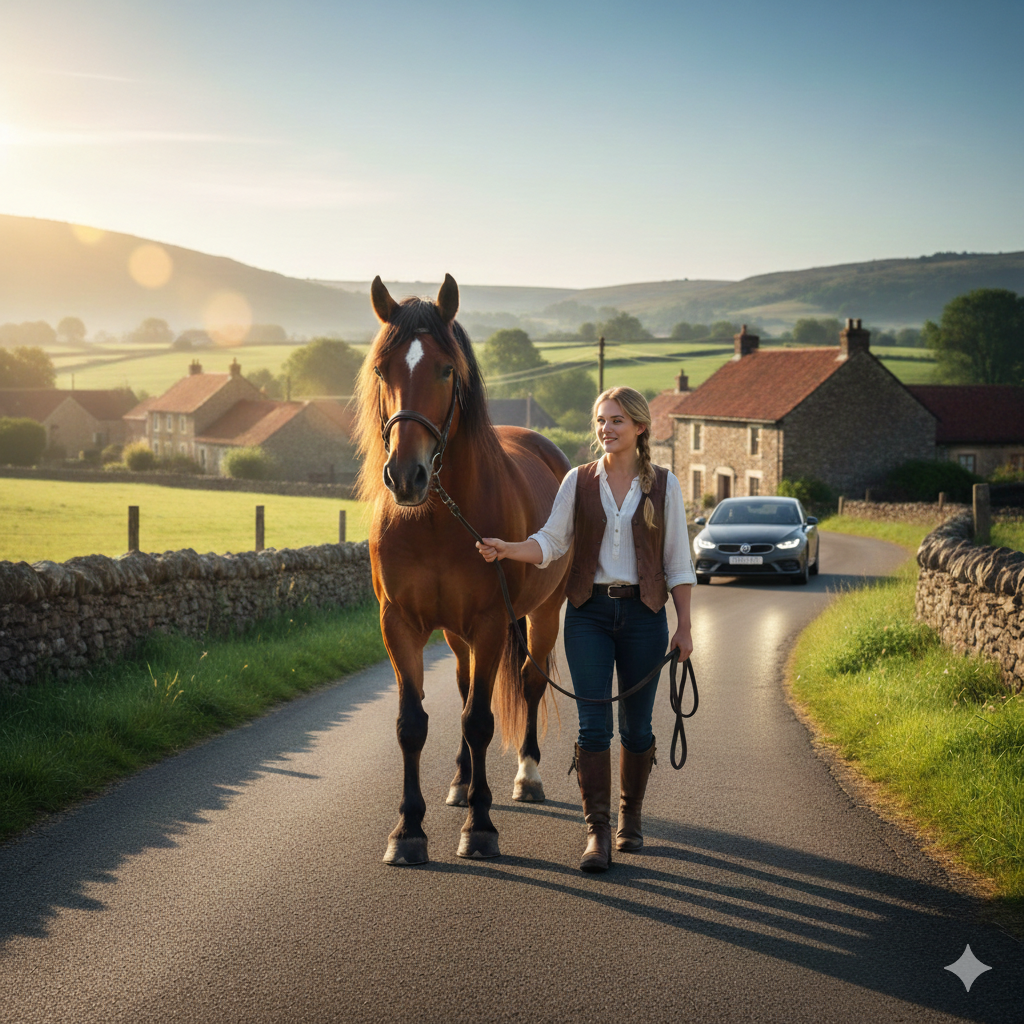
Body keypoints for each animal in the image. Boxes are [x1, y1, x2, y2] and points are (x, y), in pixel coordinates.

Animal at [353, 274, 571, 865]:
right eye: (382, 370)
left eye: (446, 369)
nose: (406, 476)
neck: (435, 520)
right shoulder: (399, 623)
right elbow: (413, 724)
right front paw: (408, 830)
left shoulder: (493, 622)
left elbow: (480, 719)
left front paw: (480, 826)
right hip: (456, 635)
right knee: (464, 683)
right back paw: (459, 780)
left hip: (543, 614)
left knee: (530, 682)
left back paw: (527, 776)